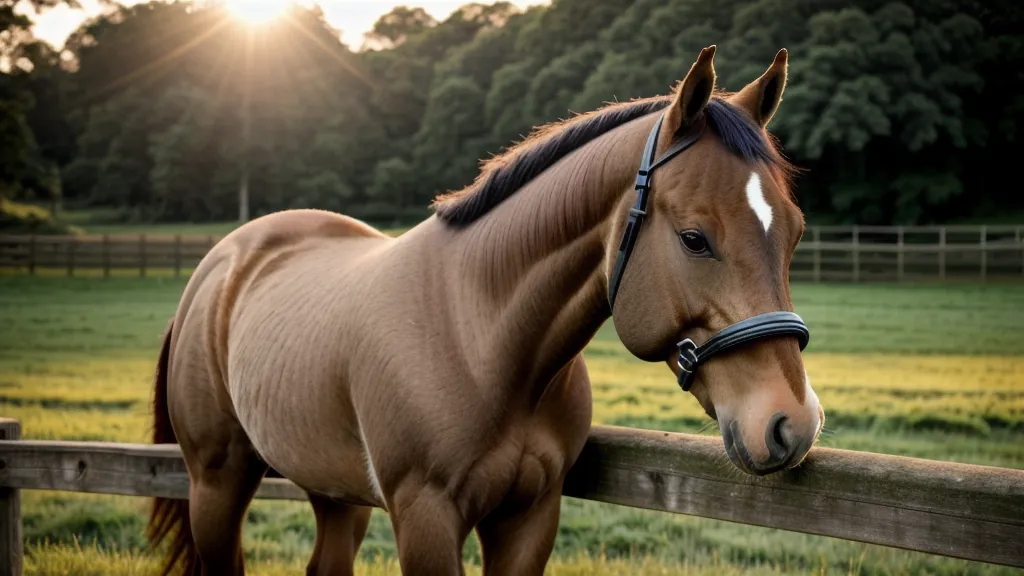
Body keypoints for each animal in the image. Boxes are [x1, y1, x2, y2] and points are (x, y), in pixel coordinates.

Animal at [147, 45, 824, 576]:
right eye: (693, 238)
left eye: (794, 233)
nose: (791, 423)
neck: (481, 341)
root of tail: (222, 261)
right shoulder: (425, 519)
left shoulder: (530, 516)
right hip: (217, 481)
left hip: (331, 490)